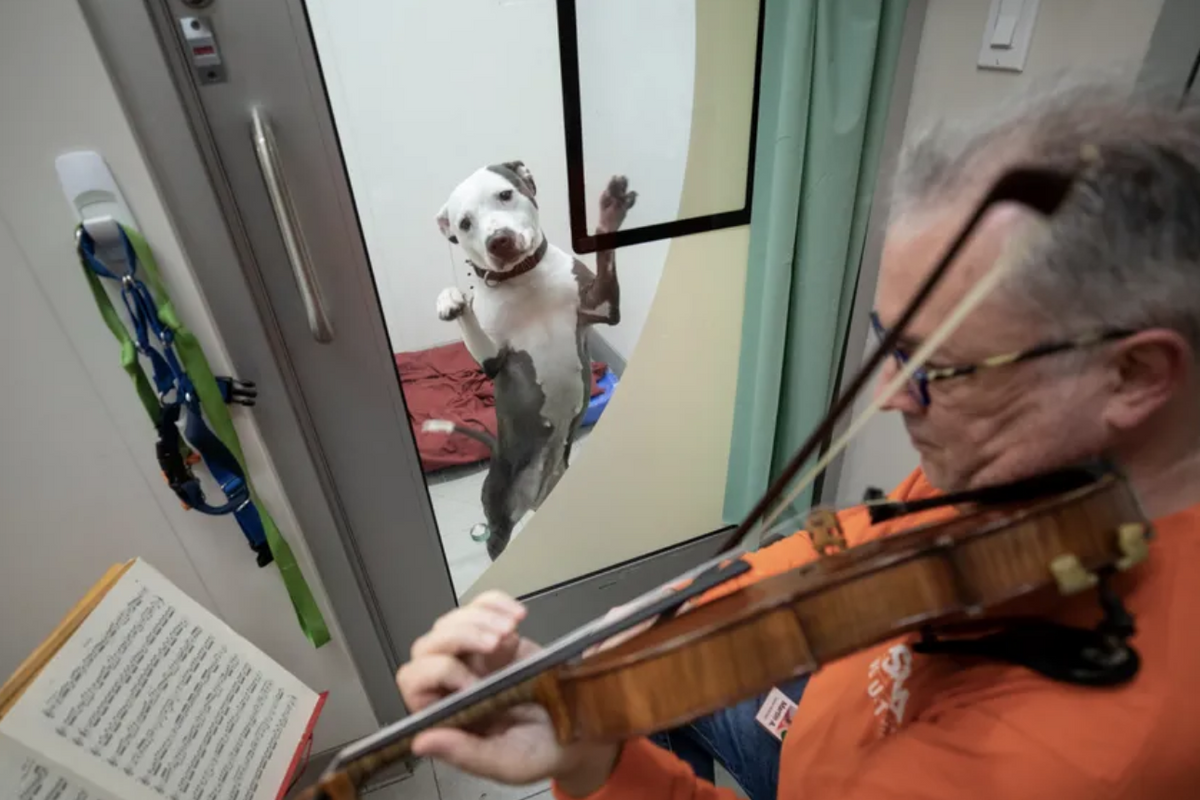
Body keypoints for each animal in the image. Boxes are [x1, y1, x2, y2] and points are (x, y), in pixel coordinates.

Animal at [424, 160, 638, 563]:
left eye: (505, 194)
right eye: (465, 223)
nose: (499, 240)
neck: (522, 277)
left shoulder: (601, 307)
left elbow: (606, 252)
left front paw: (610, 209)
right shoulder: (494, 360)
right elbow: (467, 318)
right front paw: (449, 298)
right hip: (500, 508)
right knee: (496, 540)